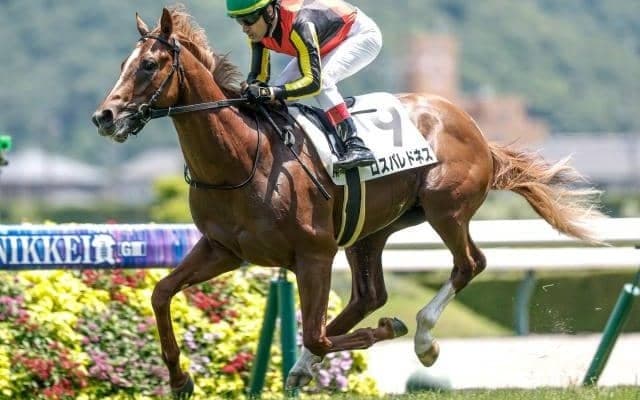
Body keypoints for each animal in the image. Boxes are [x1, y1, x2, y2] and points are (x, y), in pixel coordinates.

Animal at [92, 7, 602, 398]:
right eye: (123, 63)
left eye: (149, 64)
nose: (105, 116)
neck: (242, 159)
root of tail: (471, 126)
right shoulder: (223, 249)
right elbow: (161, 293)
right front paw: (180, 379)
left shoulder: (313, 254)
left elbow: (317, 333)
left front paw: (388, 332)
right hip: (370, 230)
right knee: (368, 295)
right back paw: (306, 366)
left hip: (446, 209)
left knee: (468, 264)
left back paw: (422, 338)